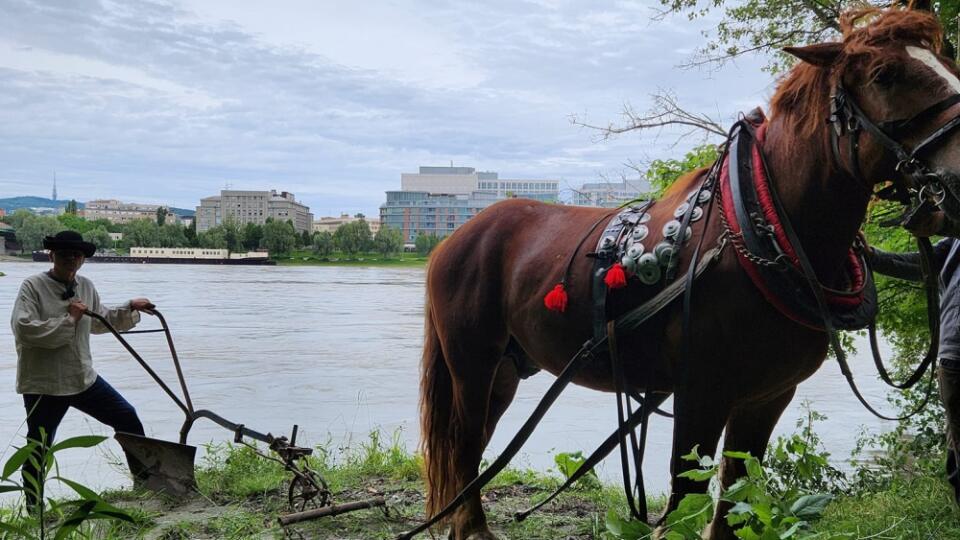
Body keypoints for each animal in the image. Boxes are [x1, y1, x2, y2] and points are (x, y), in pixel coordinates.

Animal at [420, 9, 960, 540]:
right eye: (883, 75)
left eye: (949, 60)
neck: (758, 230)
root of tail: (455, 237)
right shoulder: (701, 392)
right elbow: (685, 496)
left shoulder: (767, 397)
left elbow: (735, 496)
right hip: (472, 362)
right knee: (463, 443)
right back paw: (471, 529)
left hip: (507, 369)